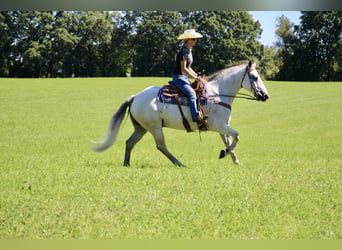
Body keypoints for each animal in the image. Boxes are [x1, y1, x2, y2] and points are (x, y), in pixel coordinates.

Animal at [93, 59, 270, 167]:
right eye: (254, 77)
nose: (265, 96)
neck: (217, 93)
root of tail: (135, 97)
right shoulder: (217, 125)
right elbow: (237, 136)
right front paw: (224, 154)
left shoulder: (222, 126)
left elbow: (229, 141)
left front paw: (234, 160)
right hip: (155, 127)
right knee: (161, 146)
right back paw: (179, 163)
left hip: (141, 128)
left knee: (129, 142)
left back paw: (127, 164)